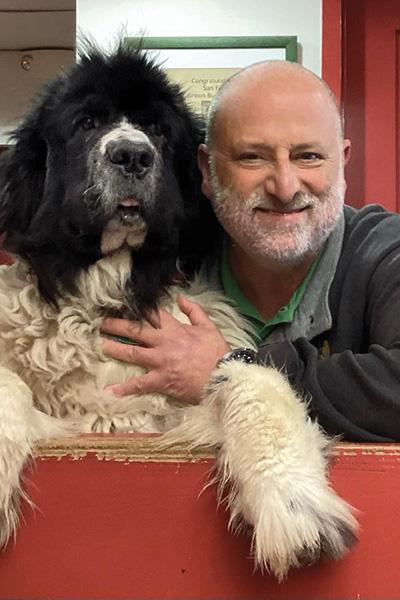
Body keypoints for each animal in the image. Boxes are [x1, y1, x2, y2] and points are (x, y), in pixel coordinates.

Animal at [0, 41, 358, 576]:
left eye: (158, 130)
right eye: (86, 123)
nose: (132, 154)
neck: (115, 288)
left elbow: (252, 379)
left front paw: (292, 499)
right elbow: (7, 383)